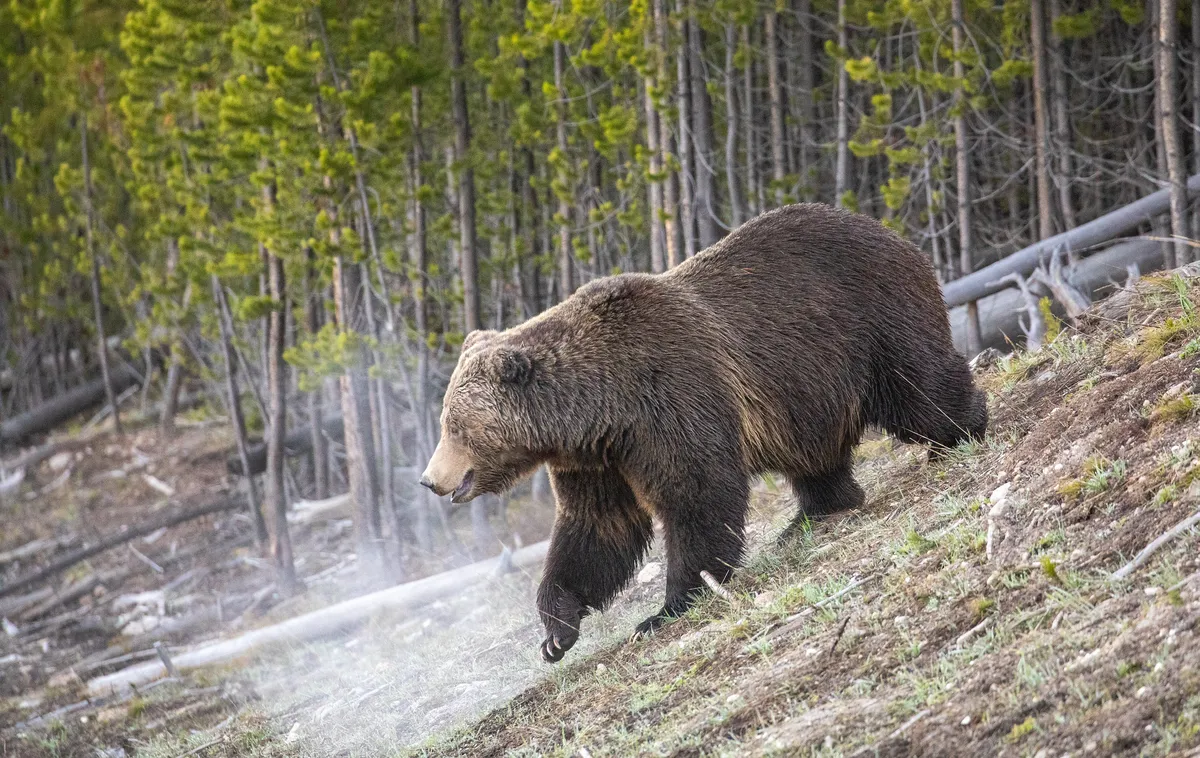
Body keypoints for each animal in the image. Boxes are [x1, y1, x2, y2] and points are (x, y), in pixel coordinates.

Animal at [419, 203, 987, 663]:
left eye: (453, 425)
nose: (429, 480)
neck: (598, 406)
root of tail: (891, 232)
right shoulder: (598, 457)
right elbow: (596, 527)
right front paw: (556, 629)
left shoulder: (669, 396)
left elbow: (697, 492)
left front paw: (667, 607)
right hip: (806, 389)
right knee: (814, 452)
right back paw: (813, 511)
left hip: (866, 317)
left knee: (917, 385)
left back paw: (962, 429)